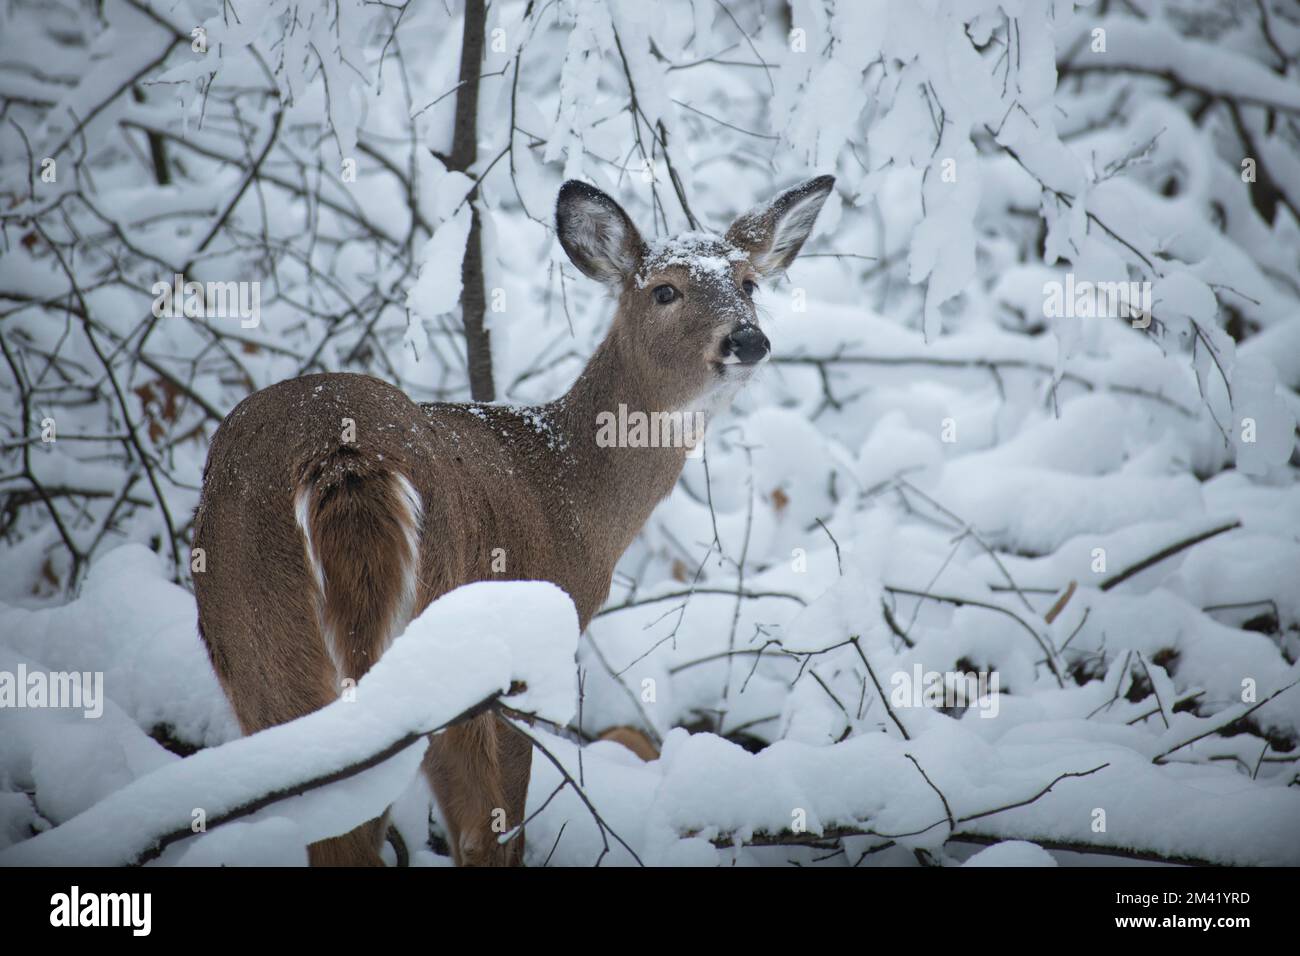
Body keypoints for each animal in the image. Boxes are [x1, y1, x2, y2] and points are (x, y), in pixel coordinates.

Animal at [192, 174, 835, 866]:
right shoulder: (536, 647)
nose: (748, 340)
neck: (568, 492)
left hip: (256, 640)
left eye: (750, 282)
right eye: (665, 290)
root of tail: (340, 455)